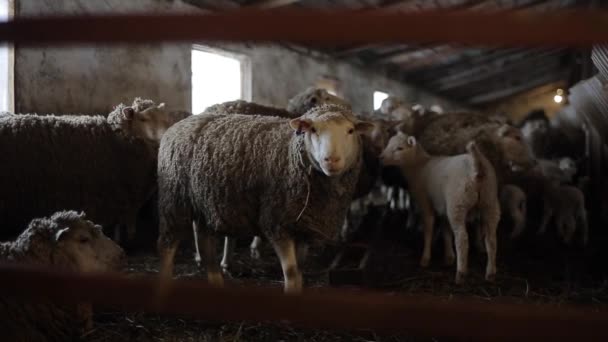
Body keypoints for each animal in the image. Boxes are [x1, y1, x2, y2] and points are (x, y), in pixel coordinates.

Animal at [157, 105, 372, 294]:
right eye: (313, 129)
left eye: (350, 130)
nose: (331, 160)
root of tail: (182, 123)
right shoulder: (276, 221)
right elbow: (291, 271)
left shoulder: (301, 225)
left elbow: (299, 268)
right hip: (174, 199)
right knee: (168, 243)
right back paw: (165, 281)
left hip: (205, 203)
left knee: (205, 241)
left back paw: (216, 280)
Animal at [380, 132, 498, 284]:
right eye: (388, 144)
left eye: (400, 148)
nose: (380, 158)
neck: (418, 166)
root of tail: (476, 166)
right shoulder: (443, 207)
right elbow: (445, 230)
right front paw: (448, 257)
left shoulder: (425, 202)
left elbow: (429, 228)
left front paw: (425, 258)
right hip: (489, 201)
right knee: (491, 239)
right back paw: (490, 273)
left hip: (457, 203)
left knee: (462, 239)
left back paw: (461, 273)